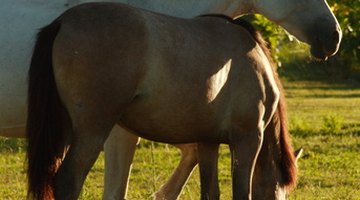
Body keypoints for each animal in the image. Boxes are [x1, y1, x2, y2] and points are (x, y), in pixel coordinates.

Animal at [0, 0, 340, 198]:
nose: (333, 35)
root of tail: (62, 22)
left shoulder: (207, 139)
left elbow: (209, 189)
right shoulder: (248, 138)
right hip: (90, 130)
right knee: (68, 181)